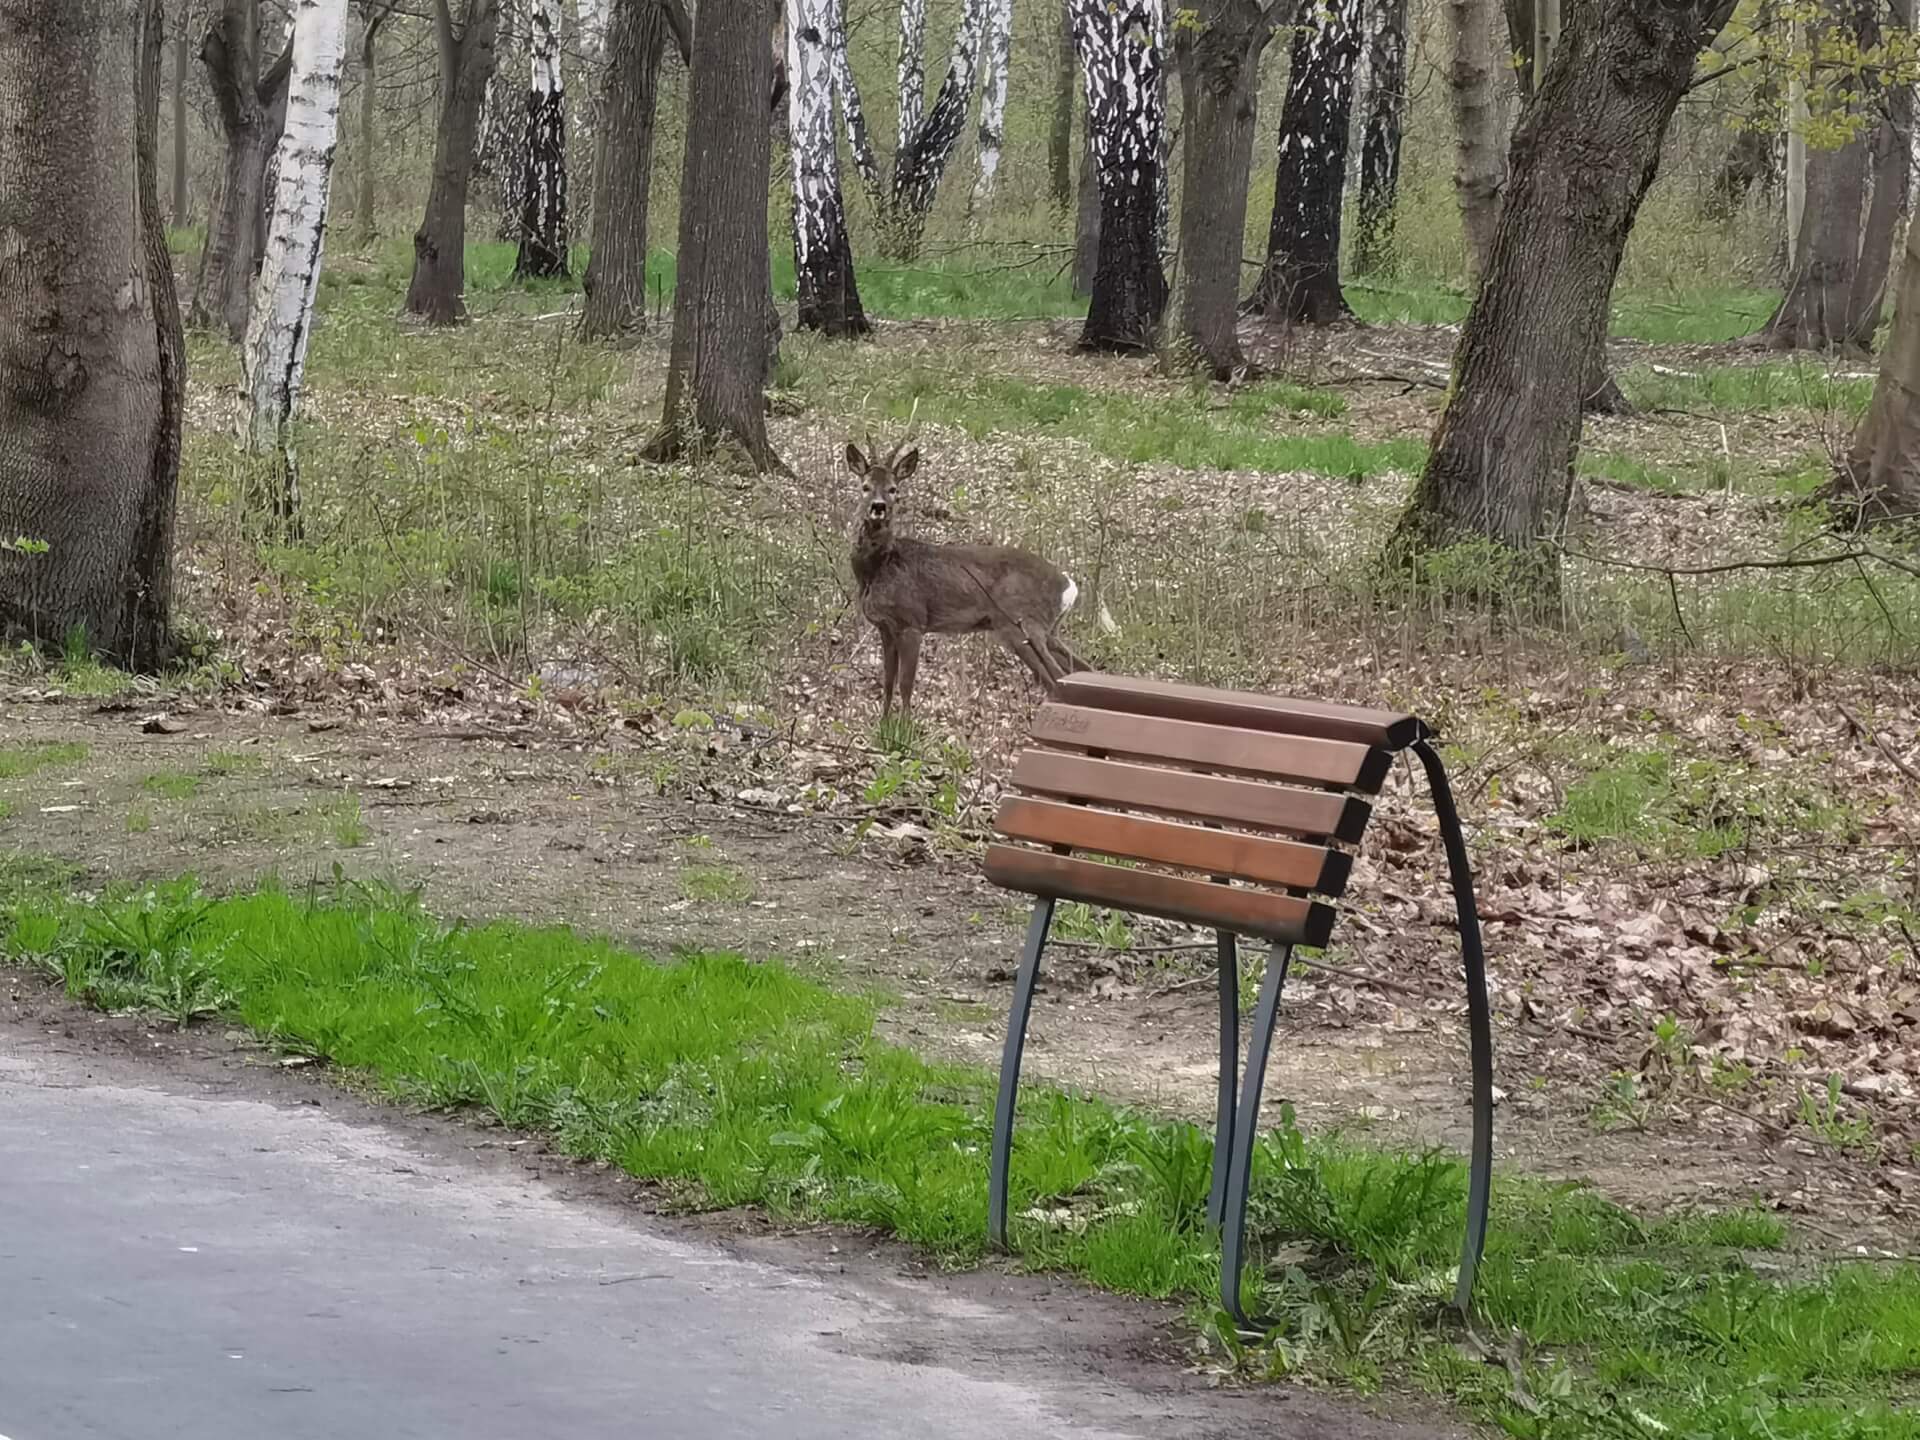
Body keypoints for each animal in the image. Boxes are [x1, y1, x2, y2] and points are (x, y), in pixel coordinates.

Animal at [844, 439, 1098, 721]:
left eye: (893, 488)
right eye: (865, 486)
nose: (878, 507)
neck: (879, 567)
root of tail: (1068, 585)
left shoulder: (913, 622)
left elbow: (905, 684)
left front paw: (903, 729)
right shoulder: (885, 627)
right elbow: (887, 681)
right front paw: (883, 724)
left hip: (1022, 623)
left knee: (1057, 678)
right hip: (1045, 629)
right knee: (1082, 669)